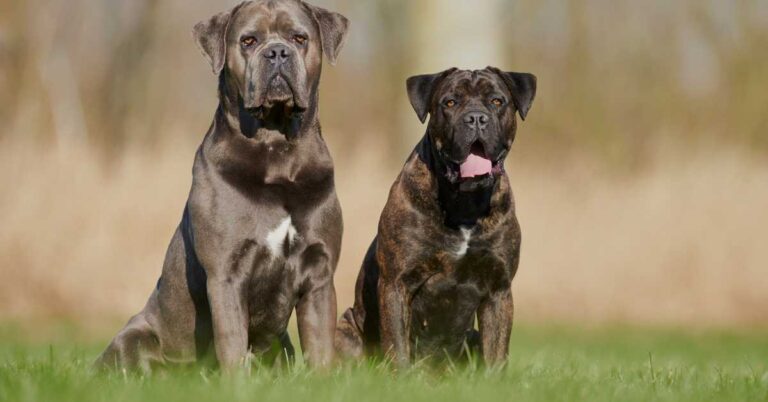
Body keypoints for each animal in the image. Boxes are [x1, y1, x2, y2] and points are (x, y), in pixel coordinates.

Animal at [94, 0, 350, 374]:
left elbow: (320, 344)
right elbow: (231, 341)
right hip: (134, 337)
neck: (276, 148)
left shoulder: (319, 273)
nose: (277, 52)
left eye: (299, 38)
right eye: (248, 40)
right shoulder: (226, 273)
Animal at [332, 66, 536, 368]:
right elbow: (397, 345)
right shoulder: (396, 284)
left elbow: (497, 353)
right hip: (345, 329)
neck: (465, 203)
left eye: (497, 101)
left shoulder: (499, 290)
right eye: (450, 102)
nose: (476, 118)